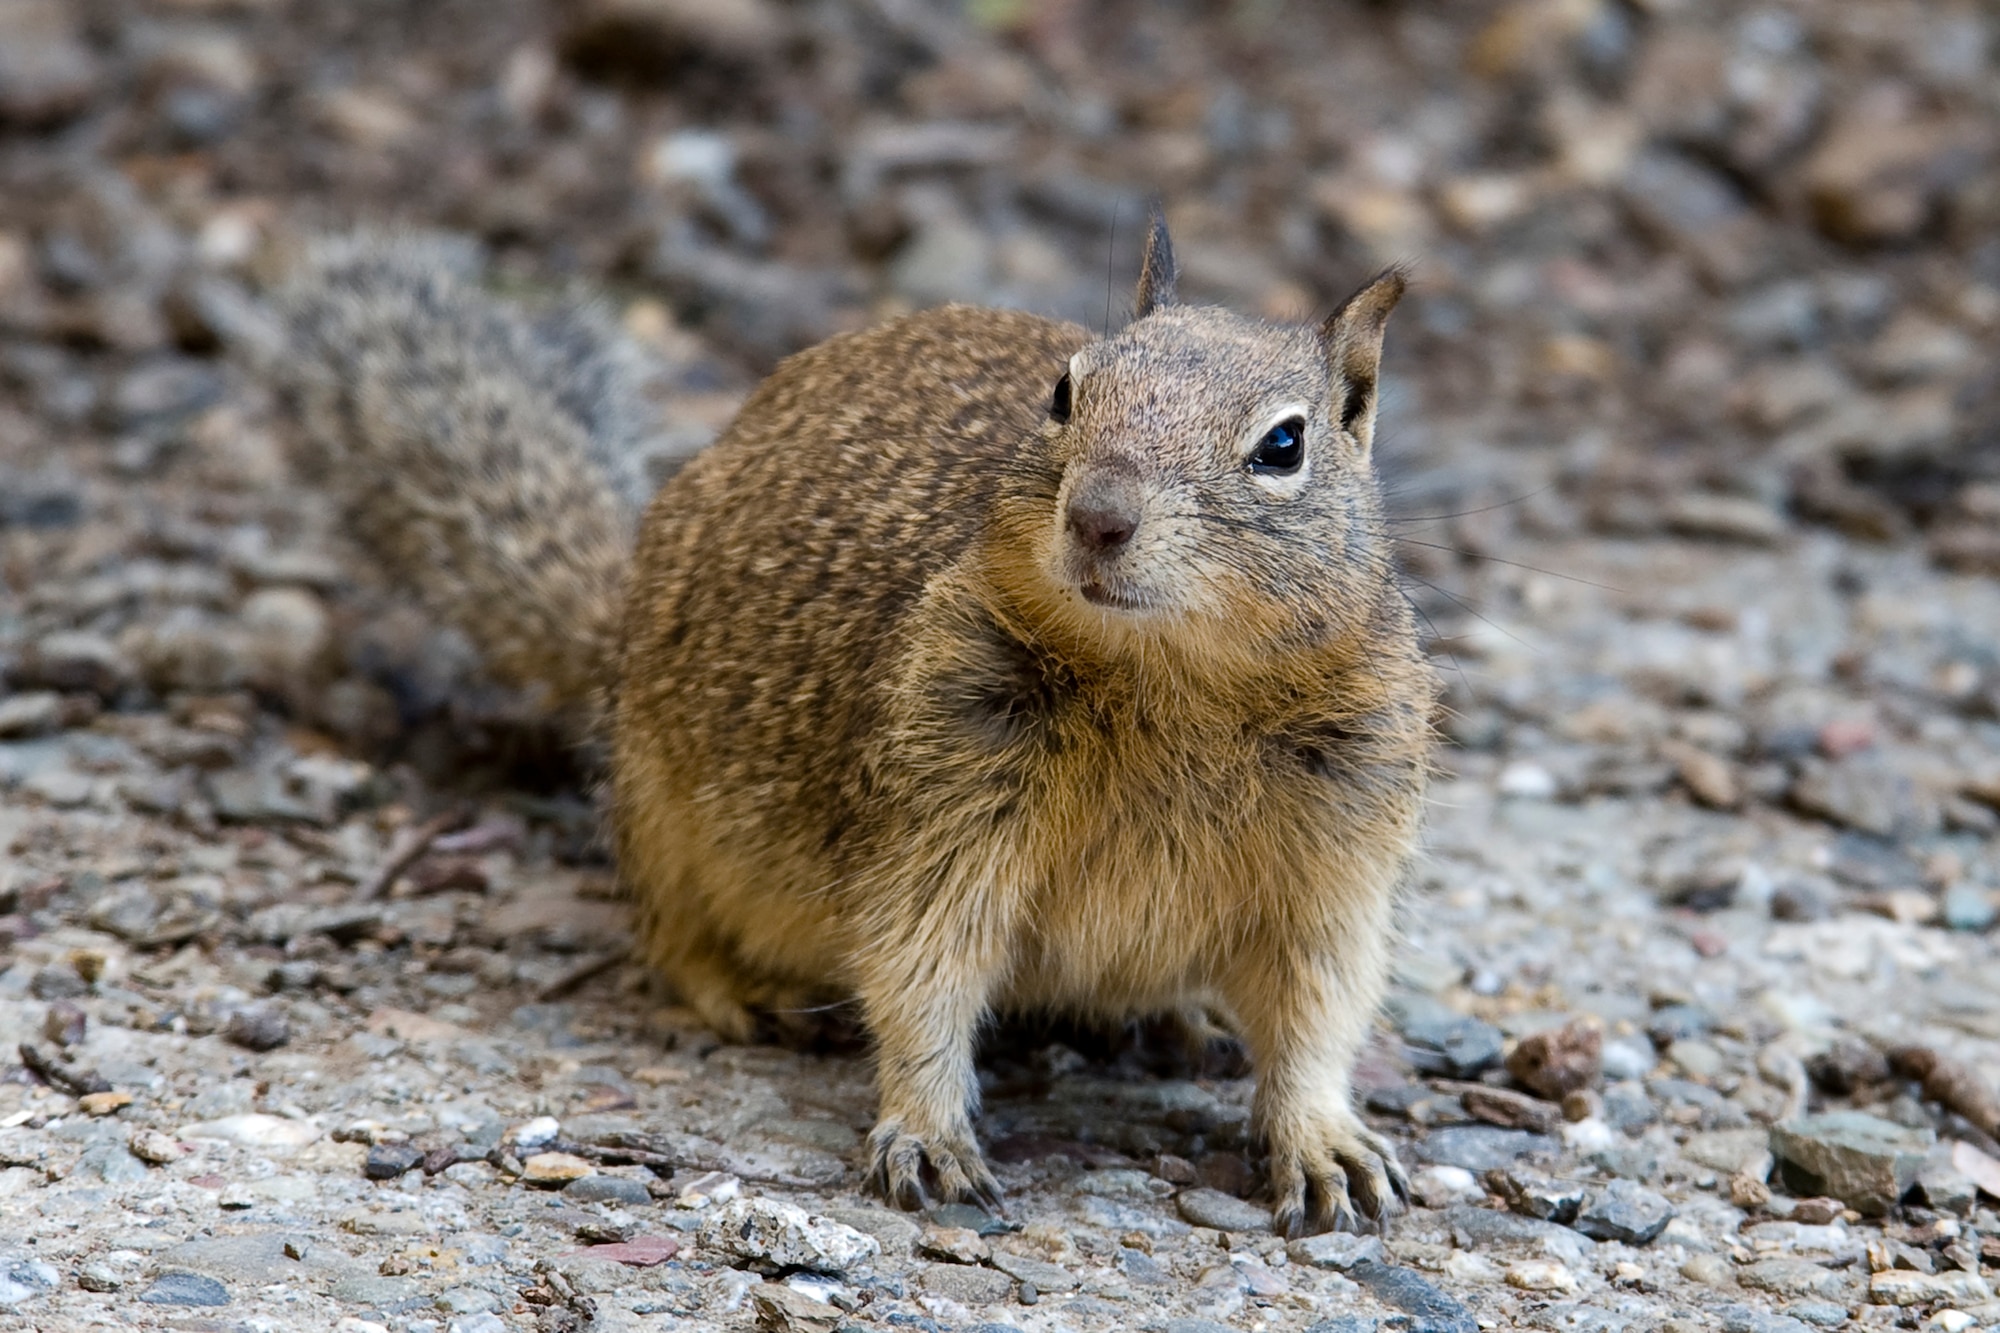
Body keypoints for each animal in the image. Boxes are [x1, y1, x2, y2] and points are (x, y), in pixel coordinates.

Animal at [278, 220, 1440, 1232]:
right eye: (1066, 392)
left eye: (1282, 444)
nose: (1098, 516)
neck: (1170, 683)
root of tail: (611, 626)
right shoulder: (944, 801)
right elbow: (922, 966)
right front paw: (926, 1128)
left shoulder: (1340, 856)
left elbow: (1320, 1009)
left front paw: (1323, 1139)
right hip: (658, 806)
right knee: (665, 932)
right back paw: (742, 988)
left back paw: (1179, 1019)